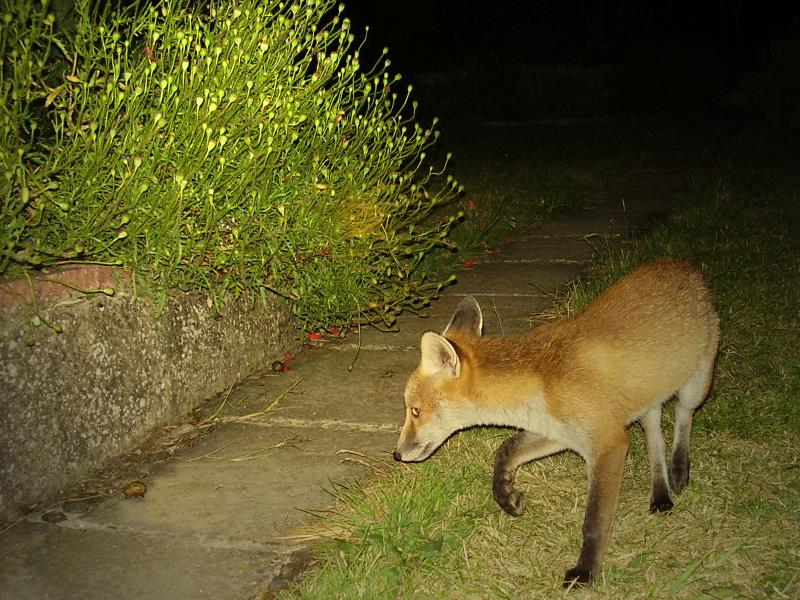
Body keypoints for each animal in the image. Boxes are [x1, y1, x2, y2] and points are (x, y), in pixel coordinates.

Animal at [392, 258, 720, 584]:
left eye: (415, 411)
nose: (396, 454)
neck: (541, 385)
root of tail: (680, 265)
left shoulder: (609, 442)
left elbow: (594, 522)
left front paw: (585, 571)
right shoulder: (559, 433)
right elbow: (506, 450)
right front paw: (507, 495)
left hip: (695, 386)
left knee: (682, 418)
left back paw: (678, 470)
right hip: (646, 400)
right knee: (655, 439)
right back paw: (661, 493)